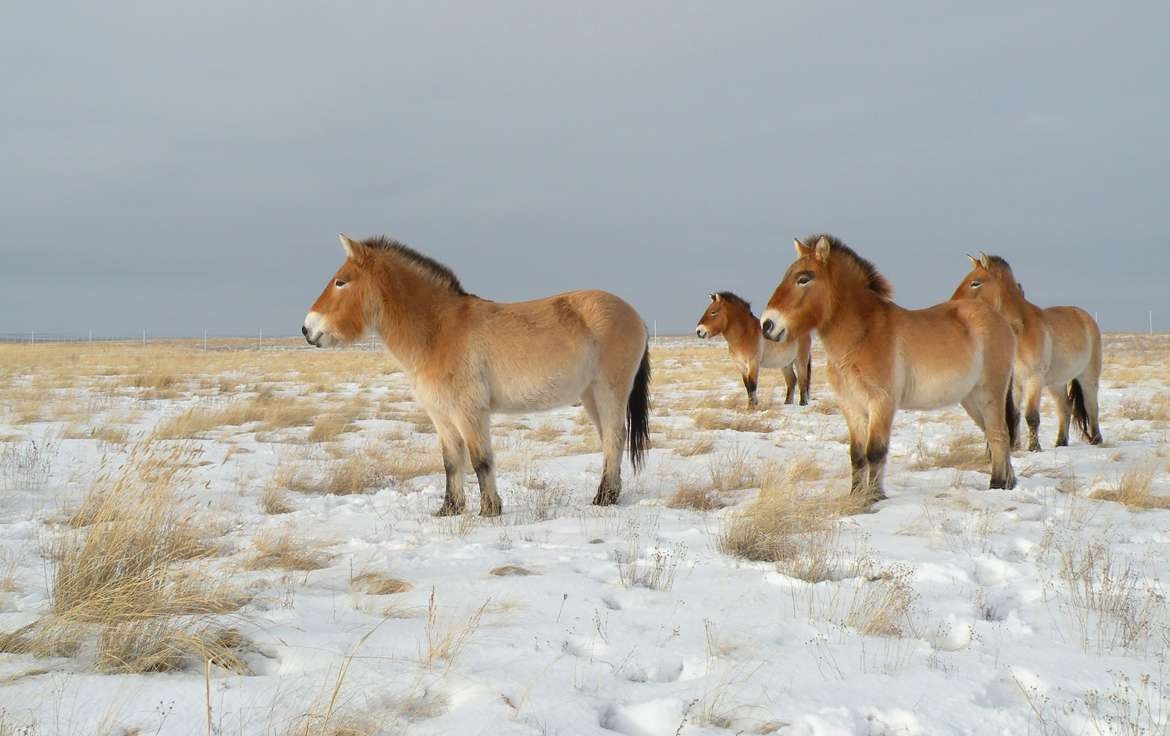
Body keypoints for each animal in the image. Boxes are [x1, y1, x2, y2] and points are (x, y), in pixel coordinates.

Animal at [301, 235, 655, 517]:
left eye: (341, 281)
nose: (307, 329)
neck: (438, 332)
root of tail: (634, 314)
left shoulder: (469, 412)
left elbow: (480, 459)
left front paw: (489, 510)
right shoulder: (441, 414)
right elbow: (451, 461)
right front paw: (449, 509)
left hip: (610, 390)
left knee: (614, 437)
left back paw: (603, 498)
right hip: (590, 395)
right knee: (610, 440)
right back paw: (609, 495)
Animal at [758, 232, 1015, 503]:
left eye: (803, 278)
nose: (767, 325)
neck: (861, 337)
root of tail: (998, 319)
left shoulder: (881, 403)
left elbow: (875, 452)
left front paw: (874, 497)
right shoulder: (851, 406)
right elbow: (857, 455)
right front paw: (856, 496)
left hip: (990, 394)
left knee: (998, 434)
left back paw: (997, 485)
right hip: (971, 400)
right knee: (995, 435)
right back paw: (1009, 483)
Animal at [945, 252, 1099, 446]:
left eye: (975, 282)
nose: (951, 304)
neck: (1020, 331)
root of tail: (1084, 316)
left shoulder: (1034, 379)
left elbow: (1031, 415)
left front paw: (1034, 447)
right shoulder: (1015, 383)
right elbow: (1016, 415)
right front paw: (1015, 446)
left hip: (1088, 377)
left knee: (1092, 407)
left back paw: (1096, 440)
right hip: (1056, 383)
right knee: (1065, 407)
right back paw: (1060, 442)